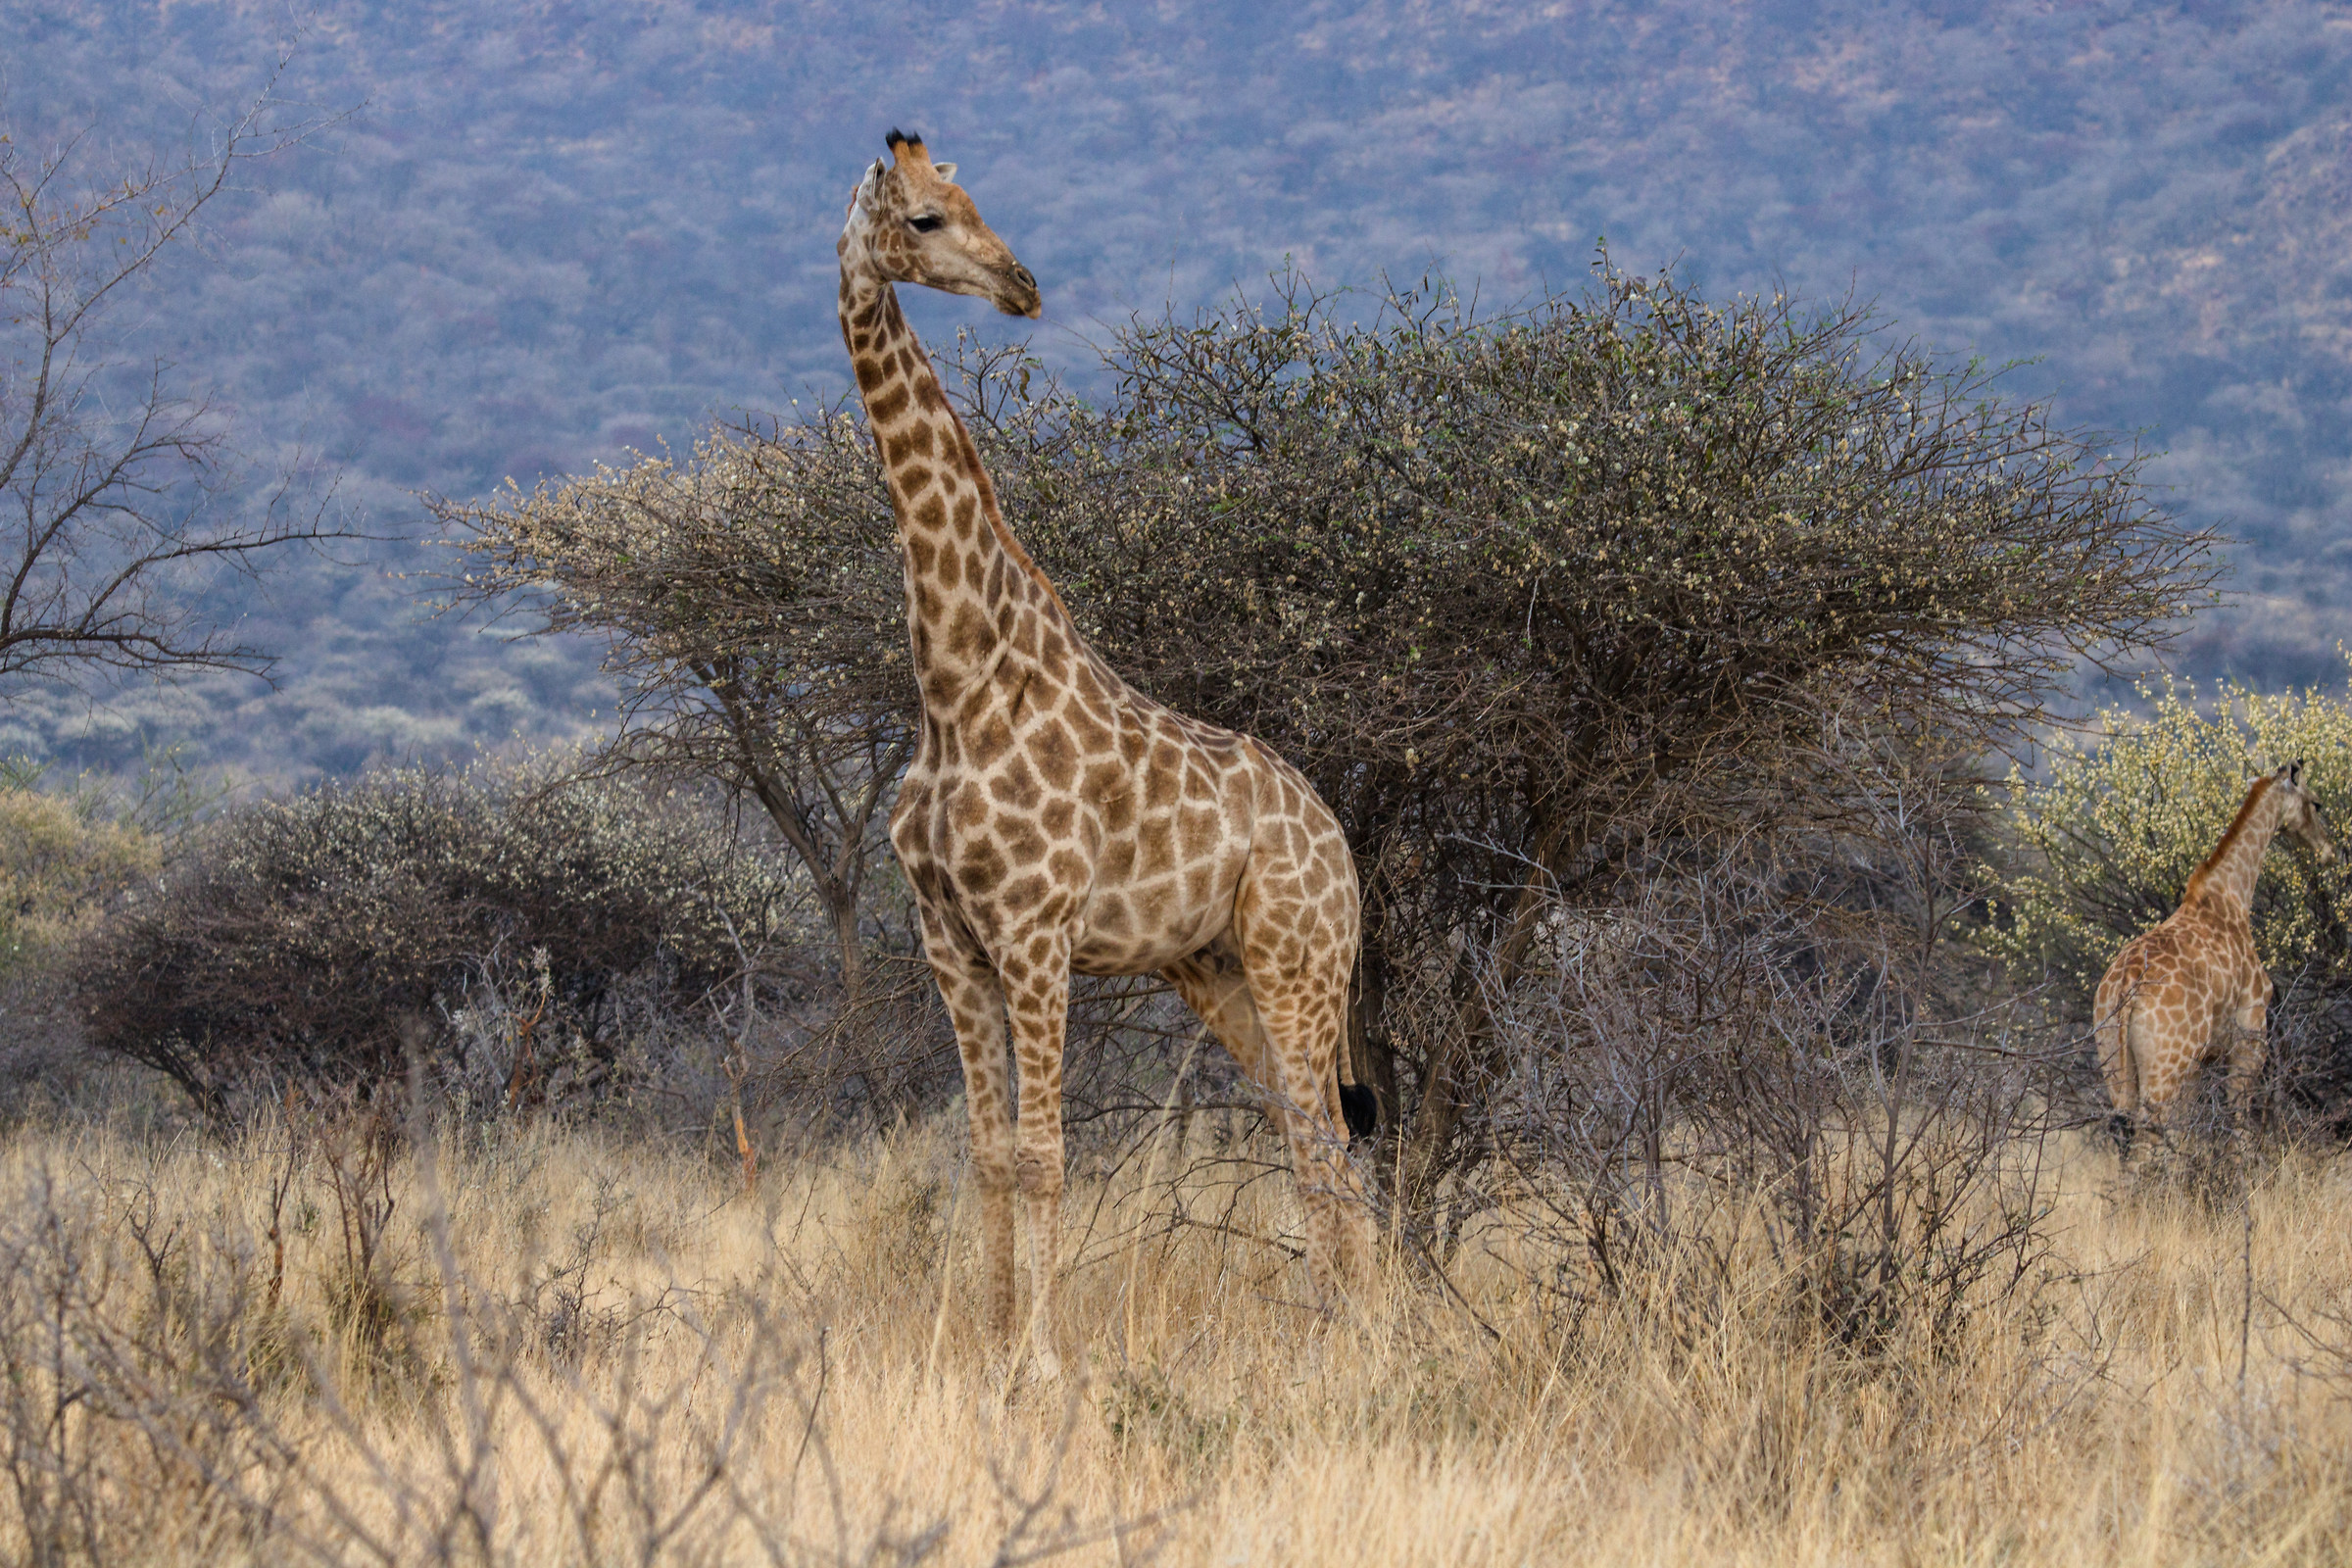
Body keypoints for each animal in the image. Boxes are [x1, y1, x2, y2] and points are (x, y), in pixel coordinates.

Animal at [837, 131, 1375, 1376]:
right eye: (928, 218)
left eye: (966, 202)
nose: (1023, 286)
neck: (955, 681)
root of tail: (1340, 846)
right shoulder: (951, 941)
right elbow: (990, 1154)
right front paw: (986, 1346)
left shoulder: (1036, 934)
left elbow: (1045, 1156)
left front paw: (1040, 1359)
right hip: (1222, 970)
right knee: (1313, 1137)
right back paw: (1344, 1333)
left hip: (1299, 960)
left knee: (1331, 1149)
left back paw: (1369, 1347)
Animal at [2094, 761, 2336, 1148]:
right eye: (2317, 803)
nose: (2329, 850)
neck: (2234, 894)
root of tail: (2124, 987)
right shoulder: (2249, 1037)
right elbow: (2239, 1123)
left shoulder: (2200, 1060)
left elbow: (2189, 1133)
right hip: (2165, 1065)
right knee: (2148, 1136)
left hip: (2114, 1062)